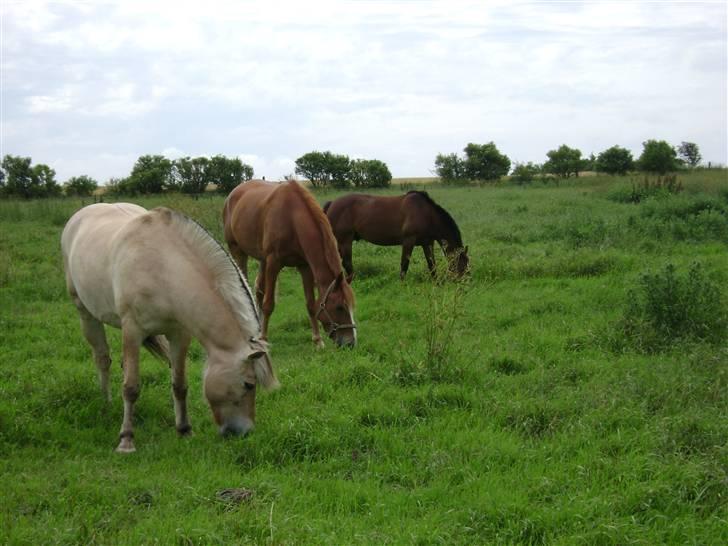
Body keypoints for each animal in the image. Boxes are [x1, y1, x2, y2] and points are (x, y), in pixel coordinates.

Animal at [61, 203, 278, 450]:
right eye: (249, 384)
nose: (244, 432)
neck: (164, 268)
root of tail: (82, 214)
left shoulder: (178, 334)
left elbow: (179, 384)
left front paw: (184, 430)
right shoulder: (132, 330)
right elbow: (131, 387)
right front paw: (126, 439)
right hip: (85, 312)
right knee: (102, 359)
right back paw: (106, 405)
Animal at [223, 180, 356, 348]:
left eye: (352, 306)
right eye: (340, 307)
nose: (350, 343)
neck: (292, 218)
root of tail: (232, 194)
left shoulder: (305, 266)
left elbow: (311, 304)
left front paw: (317, 340)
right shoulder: (273, 263)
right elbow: (269, 304)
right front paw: (264, 339)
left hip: (262, 259)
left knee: (259, 289)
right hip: (238, 251)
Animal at [324, 190, 472, 278]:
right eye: (463, 261)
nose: (468, 279)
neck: (426, 214)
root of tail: (332, 203)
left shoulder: (427, 243)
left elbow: (431, 264)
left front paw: (436, 282)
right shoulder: (408, 241)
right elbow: (404, 264)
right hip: (345, 240)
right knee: (347, 263)